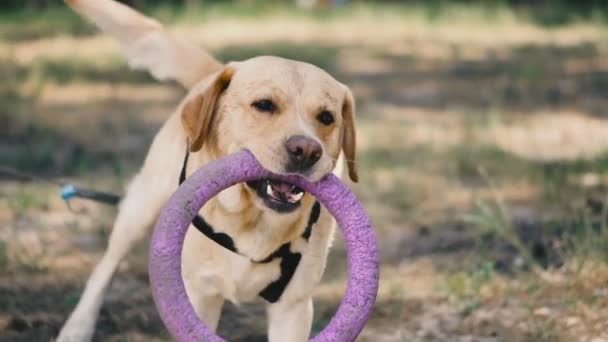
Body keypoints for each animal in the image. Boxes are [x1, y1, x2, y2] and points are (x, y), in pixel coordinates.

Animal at [58, 0, 356, 342]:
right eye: (264, 105)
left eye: (326, 117)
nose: (306, 151)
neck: (251, 222)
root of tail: (216, 70)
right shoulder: (200, 296)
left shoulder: (292, 307)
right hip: (140, 209)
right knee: (105, 267)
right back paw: (76, 328)